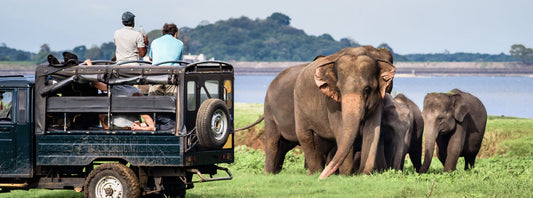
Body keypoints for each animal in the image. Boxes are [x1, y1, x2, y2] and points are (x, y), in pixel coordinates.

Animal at [294, 46, 396, 178]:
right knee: (304, 135)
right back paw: (315, 173)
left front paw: (363, 175)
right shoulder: (332, 103)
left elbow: (372, 130)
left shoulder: (378, 99)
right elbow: (340, 130)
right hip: (298, 105)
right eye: (338, 89)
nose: (322, 178)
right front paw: (345, 176)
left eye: (367, 89)